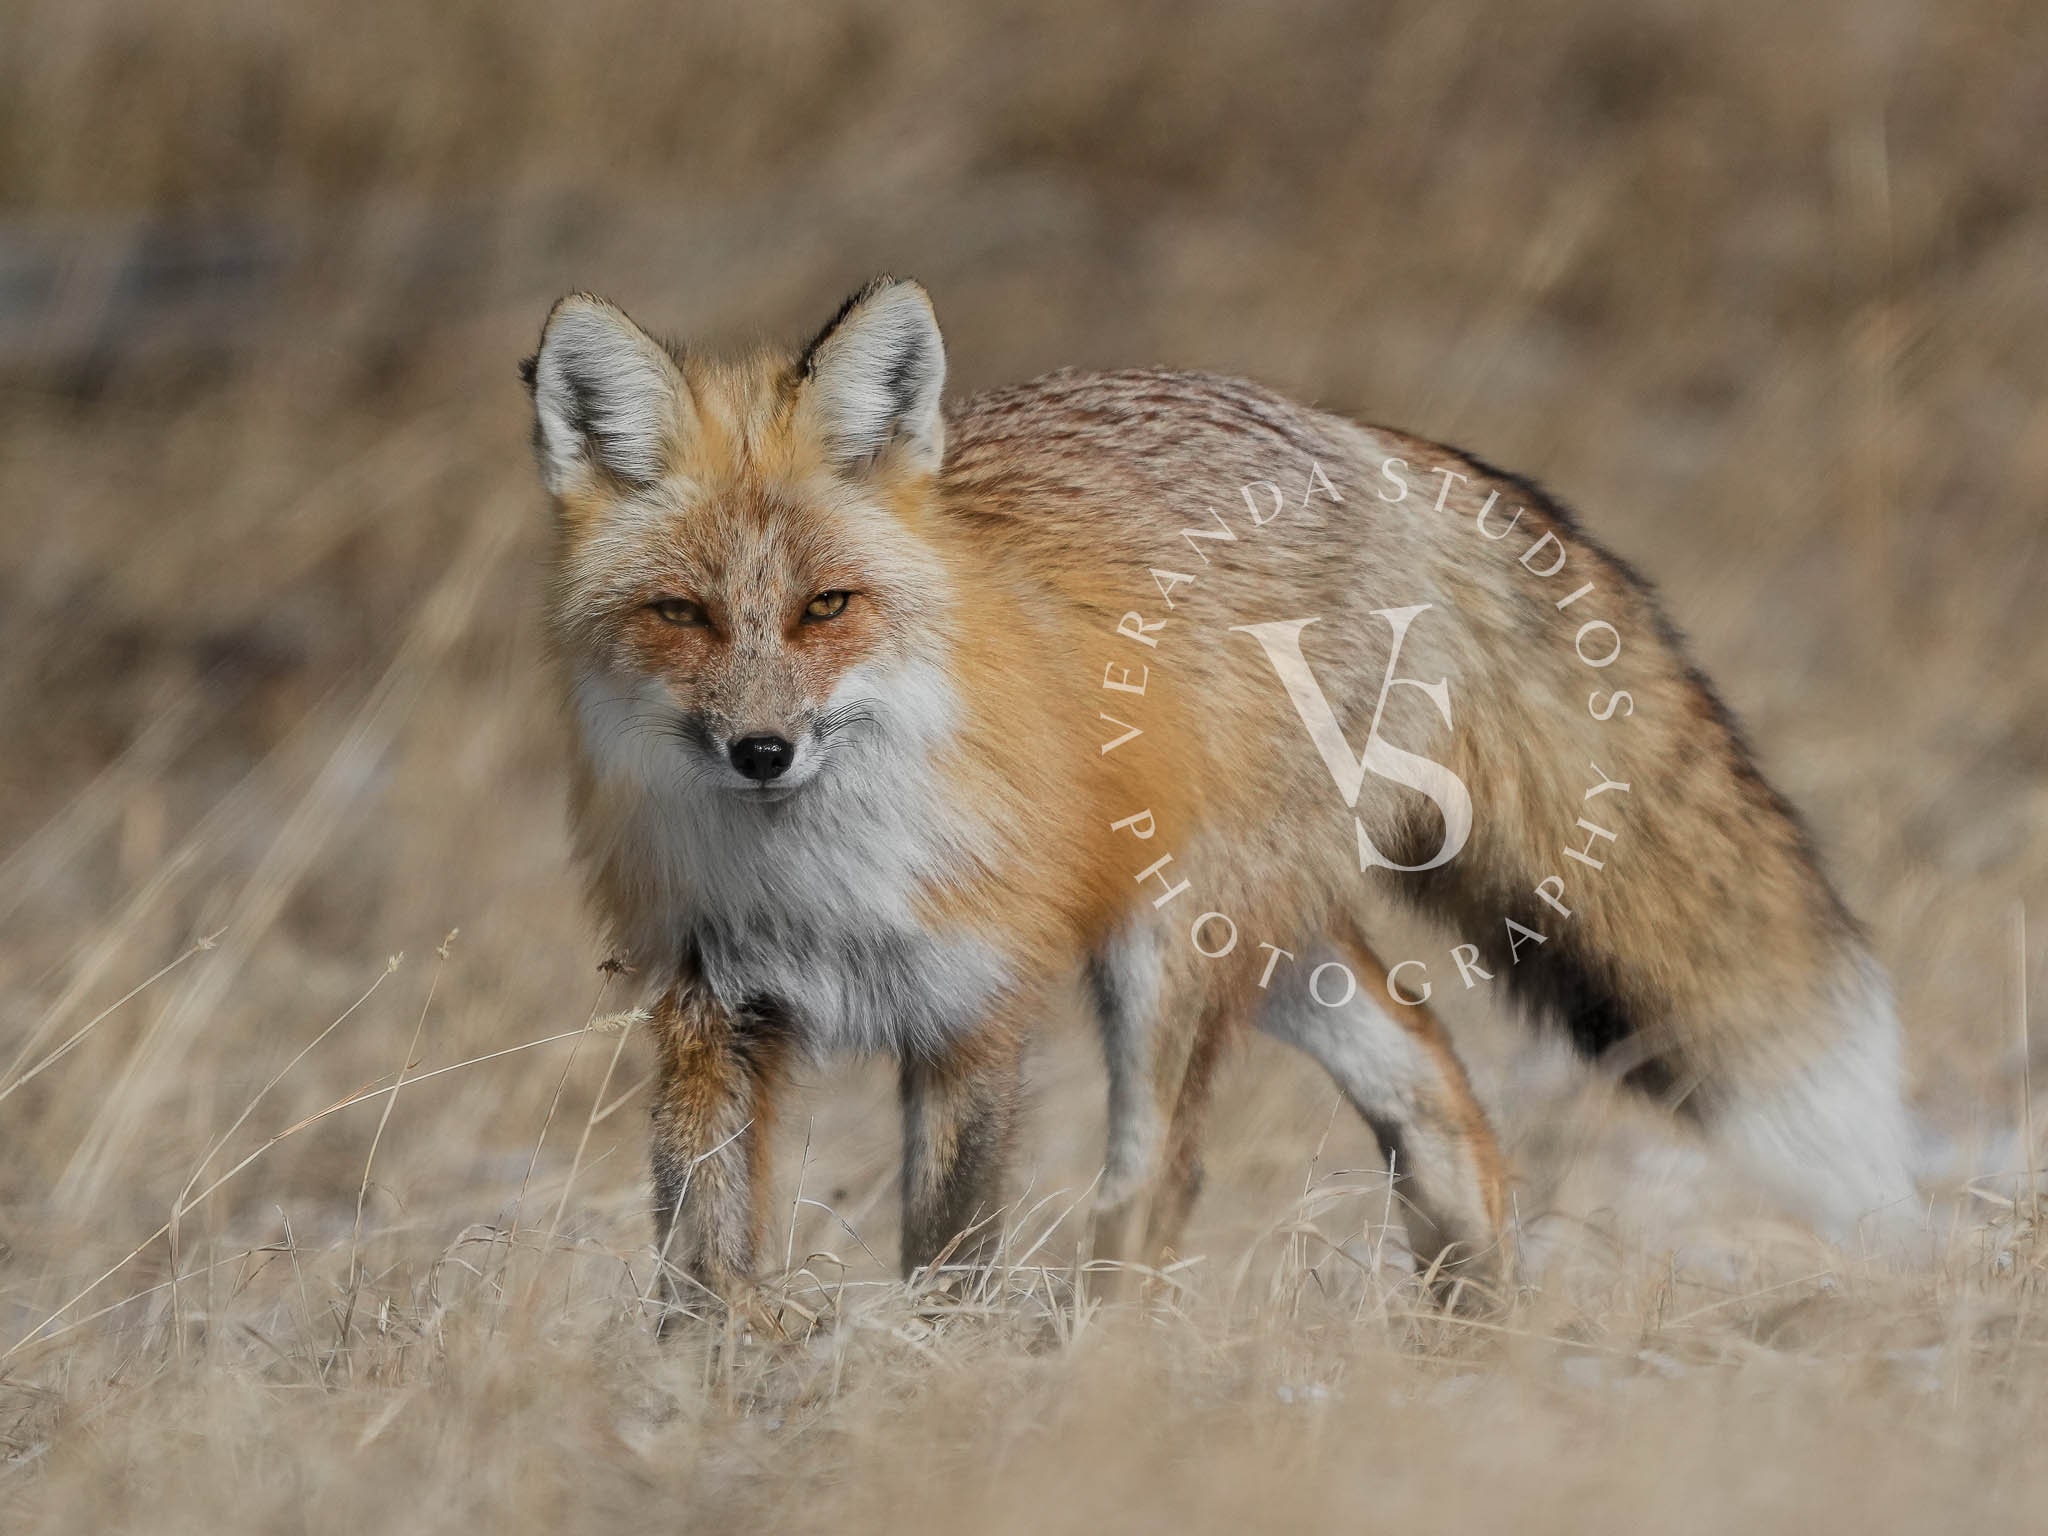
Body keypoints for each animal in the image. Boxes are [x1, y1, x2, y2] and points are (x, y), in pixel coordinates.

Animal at [521, 276, 1917, 1326]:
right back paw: (1472, 1337)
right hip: (1266, 942)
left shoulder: (973, 1008)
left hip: (1172, 951)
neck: (813, 875)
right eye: (681, 615)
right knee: (1429, 1078)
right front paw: (702, 1413)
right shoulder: (710, 1005)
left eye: (827, 607)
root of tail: (1357, 436)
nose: (761, 751)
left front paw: (933, 1400)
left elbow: (947, 1258)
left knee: (1154, 1191)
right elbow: (695, 1269)